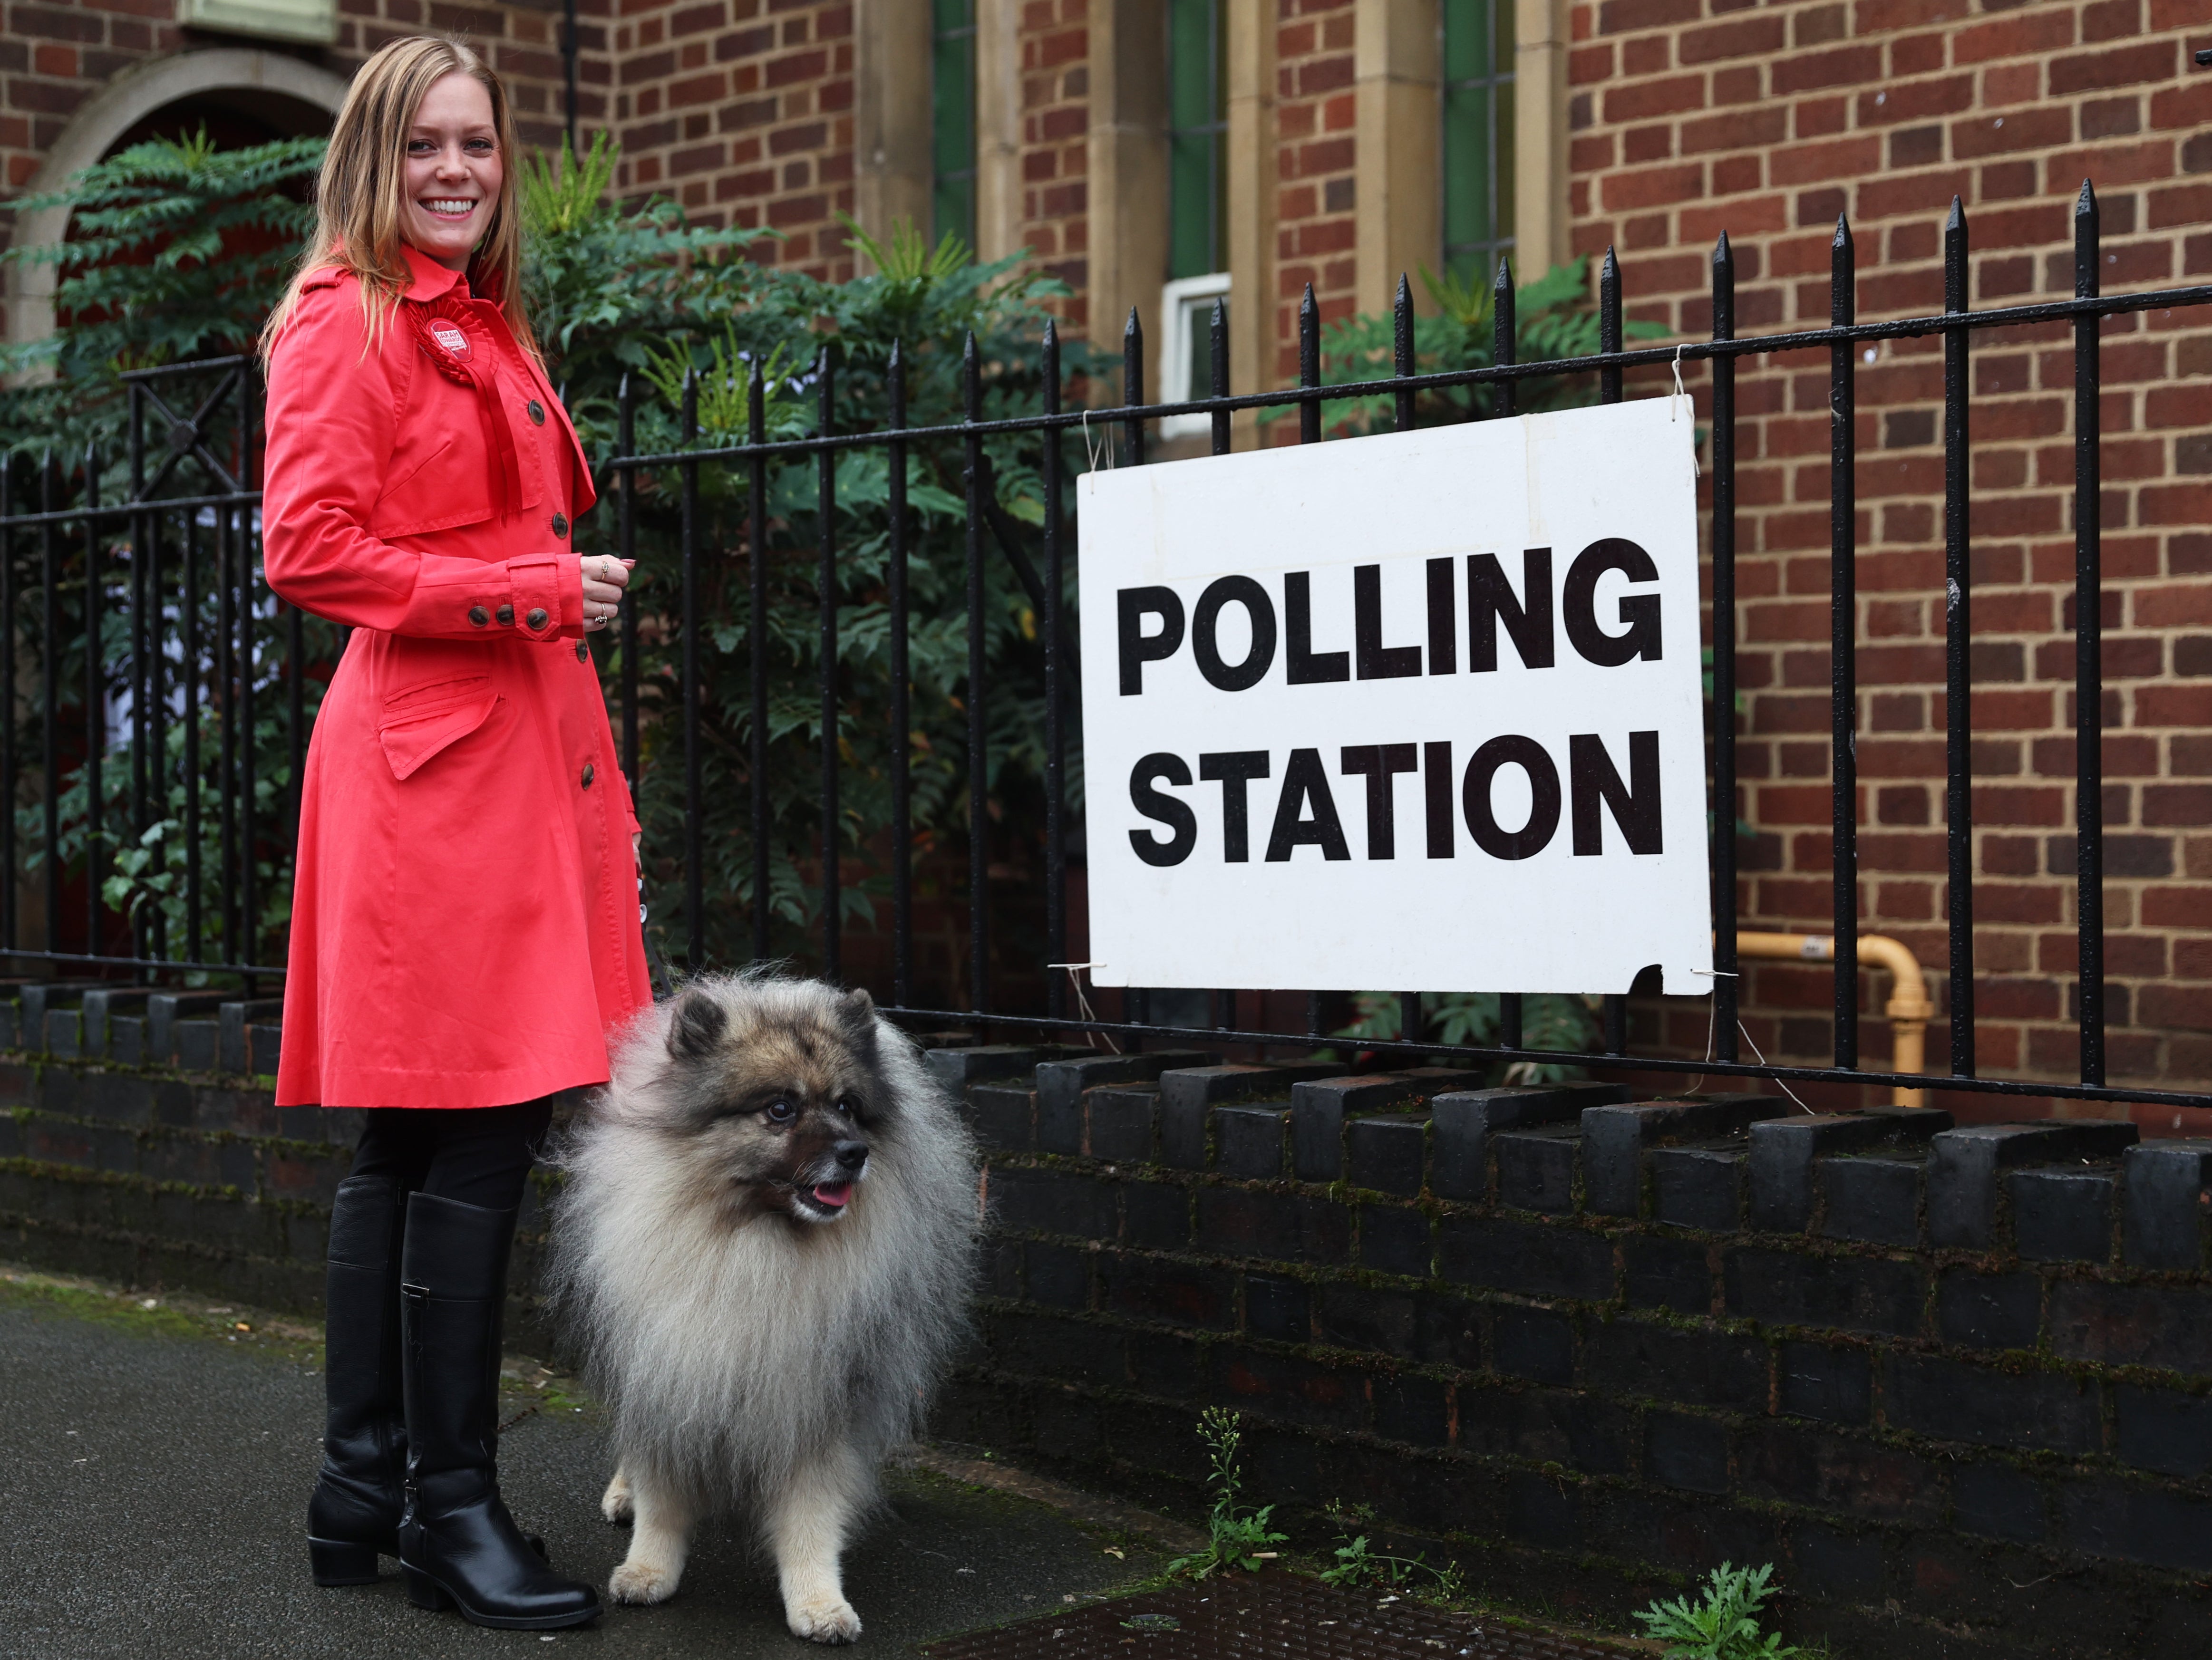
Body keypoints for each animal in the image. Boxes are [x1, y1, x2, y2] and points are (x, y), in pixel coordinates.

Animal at [546, 981, 978, 1644]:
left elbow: (810, 1515)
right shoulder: (671, 1373)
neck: (757, 1245)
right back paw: (625, 1494)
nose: (855, 1152)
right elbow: (663, 1494)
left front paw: (819, 1603)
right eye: (780, 1109)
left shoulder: (815, 1404)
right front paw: (647, 1570)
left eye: (848, 1106)